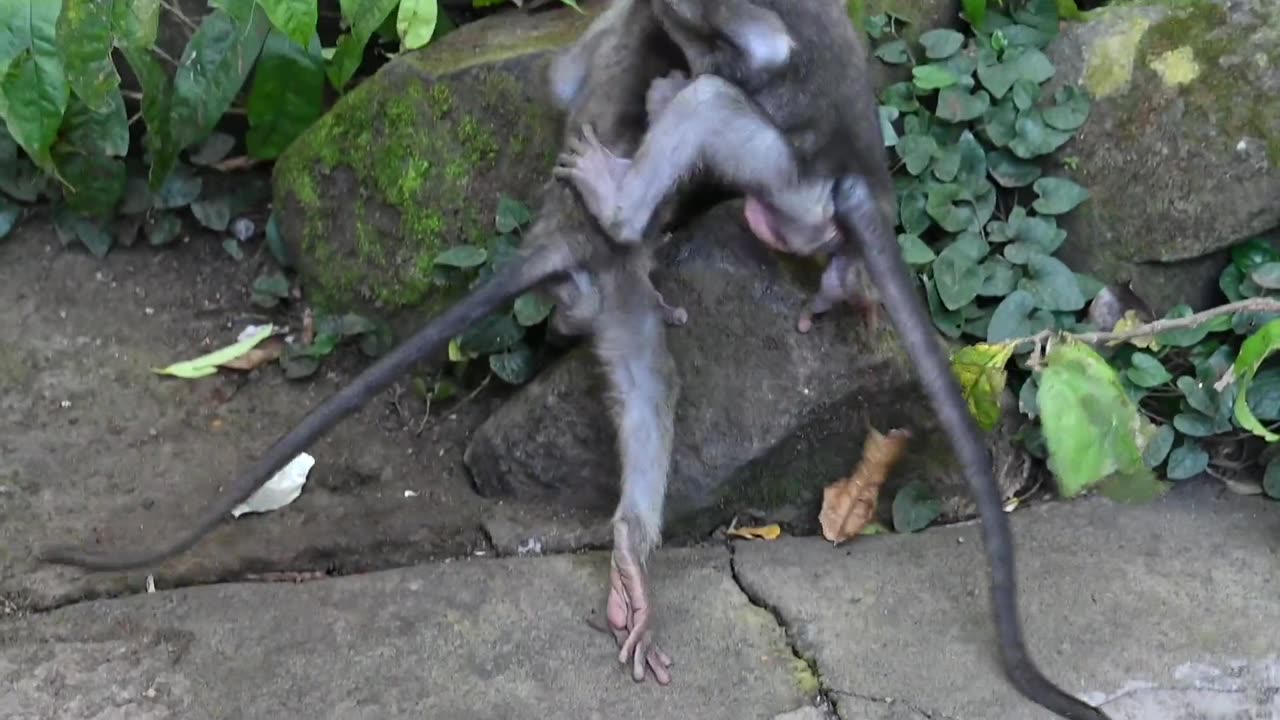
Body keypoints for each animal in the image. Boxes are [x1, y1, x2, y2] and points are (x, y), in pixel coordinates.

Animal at [38, 0, 690, 686]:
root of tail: (560, 235)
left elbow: (559, 78)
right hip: (620, 277)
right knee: (654, 369)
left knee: (642, 384)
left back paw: (628, 556)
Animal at [555, 1, 1113, 718]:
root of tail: (865, 185)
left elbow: (756, 56)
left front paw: (676, 57)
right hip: (797, 200)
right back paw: (842, 285)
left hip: (785, 172)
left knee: (710, 101)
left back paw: (625, 191)